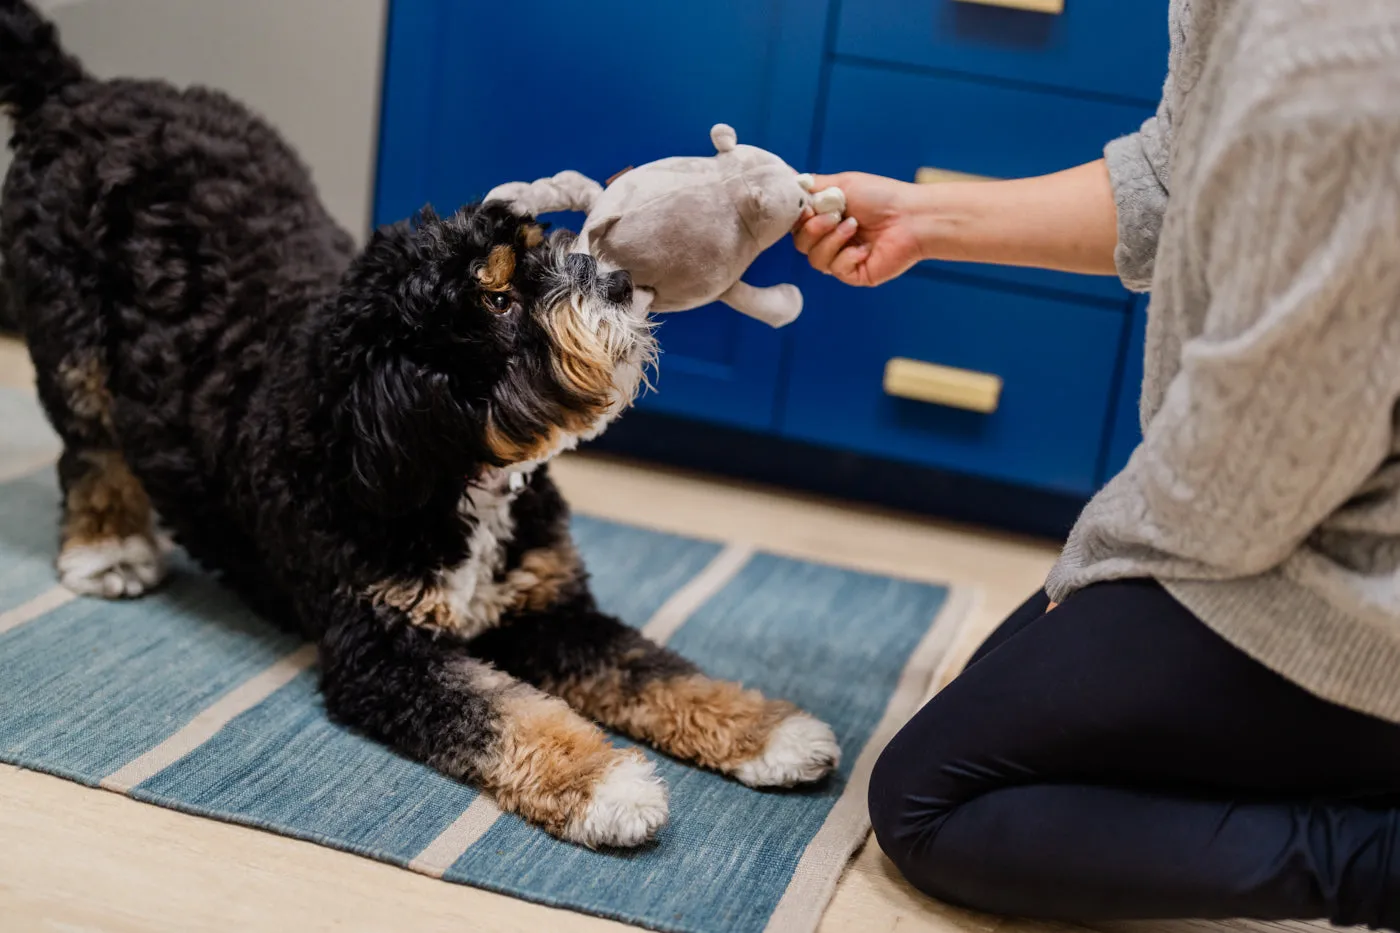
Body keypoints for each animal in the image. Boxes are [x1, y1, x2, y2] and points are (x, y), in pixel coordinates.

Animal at [0, 0, 834, 840]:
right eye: (497, 300)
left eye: (541, 249)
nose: (623, 282)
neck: (452, 468)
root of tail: (79, 90)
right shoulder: (379, 647)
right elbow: (500, 710)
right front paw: (606, 784)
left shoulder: (548, 602)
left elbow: (649, 667)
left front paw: (771, 732)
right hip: (71, 336)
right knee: (88, 449)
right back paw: (108, 548)